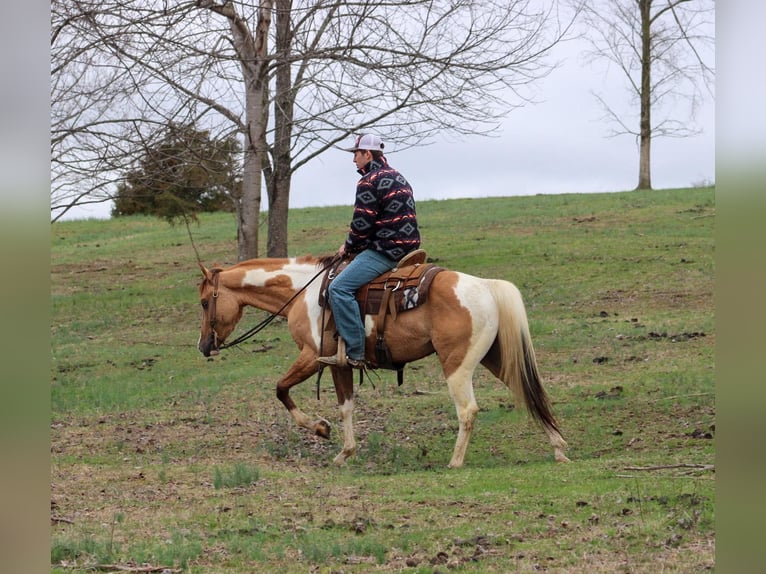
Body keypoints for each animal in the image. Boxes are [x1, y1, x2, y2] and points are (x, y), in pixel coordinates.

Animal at [198, 256, 568, 468]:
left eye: (203, 302)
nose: (204, 347)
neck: (306, 292)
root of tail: (486, 286)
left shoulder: (312, 356)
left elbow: (281, 389)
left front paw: (320, 428)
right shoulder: (340, 364)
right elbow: (346, 406)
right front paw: (345, 452)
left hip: (457, 365)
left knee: (468, 410)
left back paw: (455, 462)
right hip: (496, 358)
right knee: (529, 392)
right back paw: (559, 447)